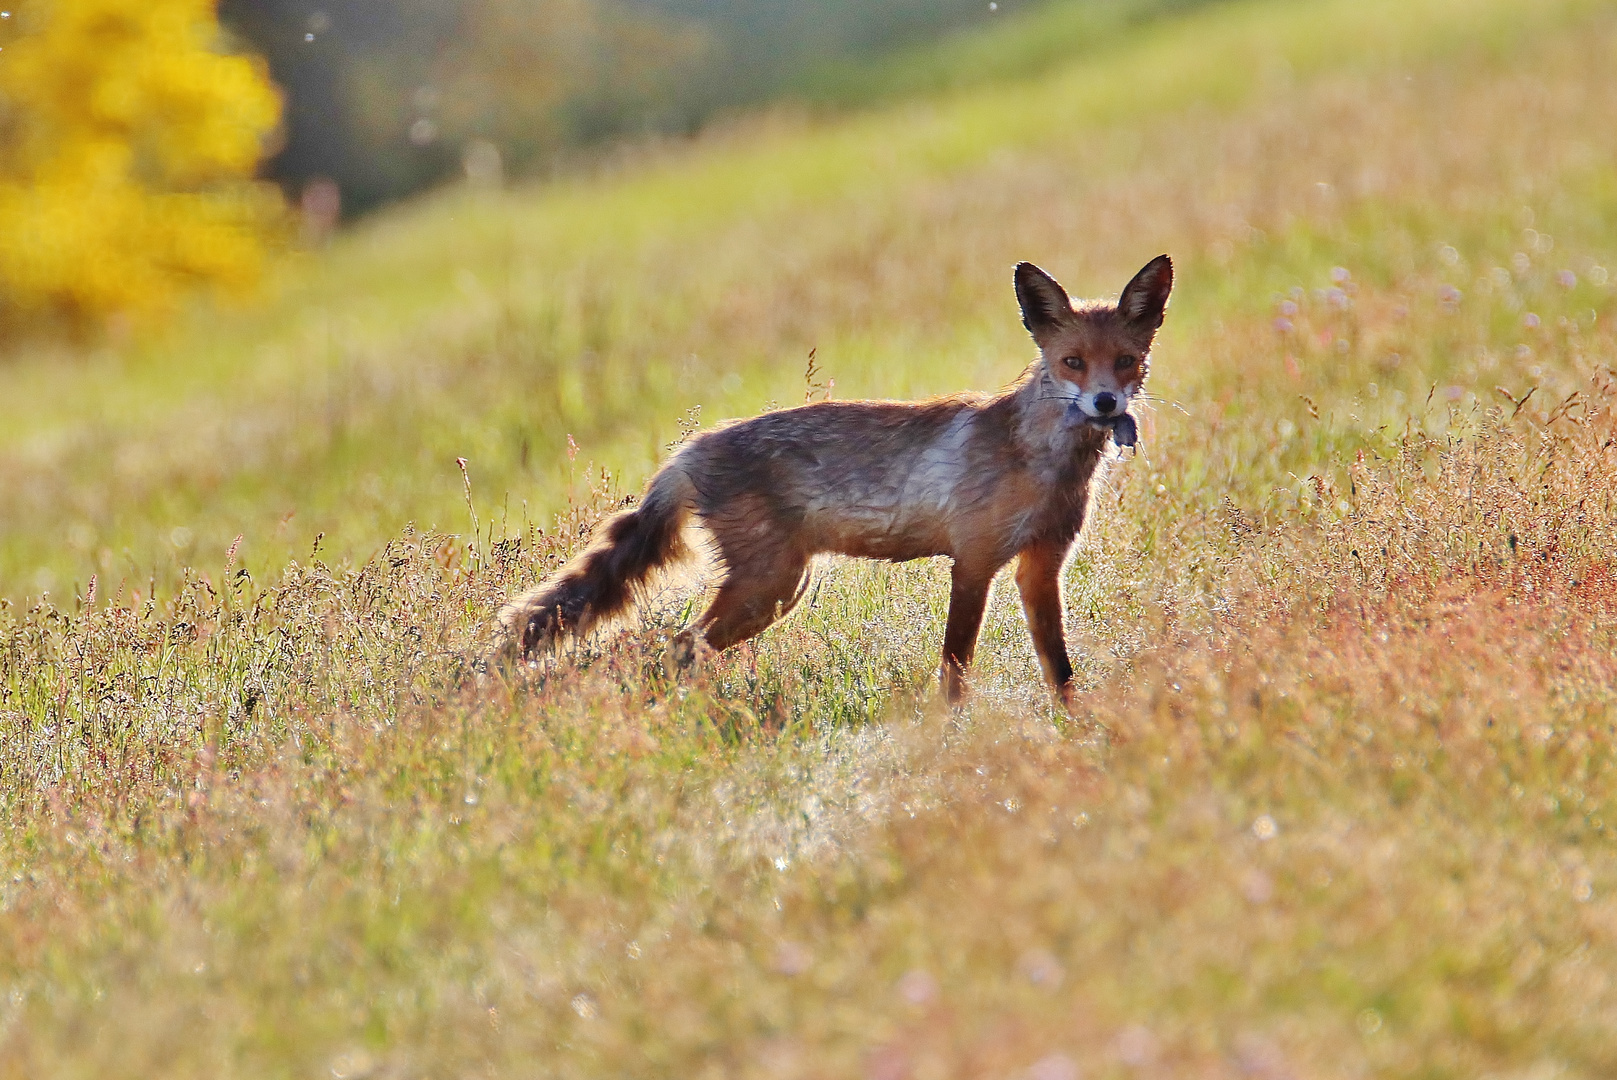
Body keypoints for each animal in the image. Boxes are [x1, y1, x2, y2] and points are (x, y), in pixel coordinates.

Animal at [498, 257, 1170, 704]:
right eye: (1072, 363)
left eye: (1127, 362)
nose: (1106, 403)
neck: (1040, 462)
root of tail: (687, 451)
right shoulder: (975, 561)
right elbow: (955, 668)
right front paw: (953, 738)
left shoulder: (1040, 566)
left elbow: (1060, 671)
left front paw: (1074, 735)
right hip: (770, 586)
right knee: (676, 648)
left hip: (776, 590)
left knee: (679, 650)